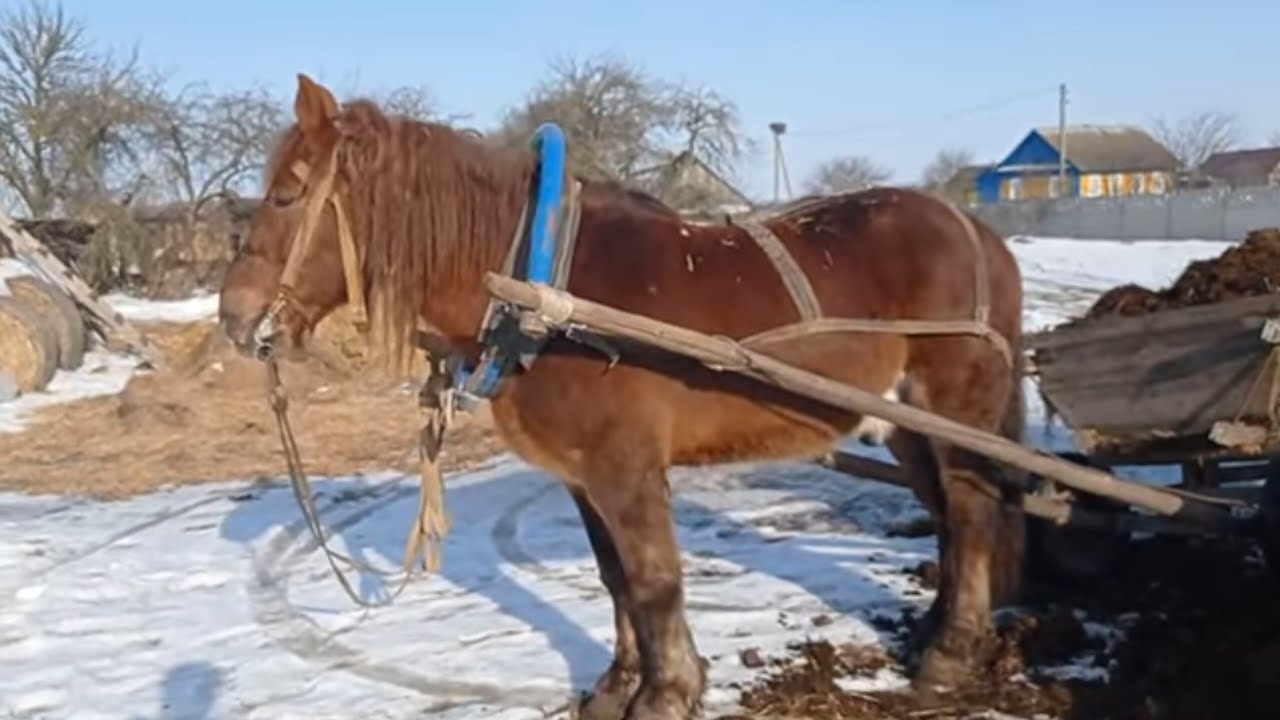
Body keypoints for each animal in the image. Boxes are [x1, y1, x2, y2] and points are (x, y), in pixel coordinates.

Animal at [217, 73, 1027, 720]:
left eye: (287, 194)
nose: (234, 317)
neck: (547, 297)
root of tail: (978, 230)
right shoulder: (583, 475)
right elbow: (616, 579)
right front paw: (617, 686)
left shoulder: (625, 469)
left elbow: (654, 579)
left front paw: (668, 693)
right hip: (905, 425)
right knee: (947, 517)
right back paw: (932, 632)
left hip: (955, 411)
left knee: (973, 515)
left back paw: (950, 655)